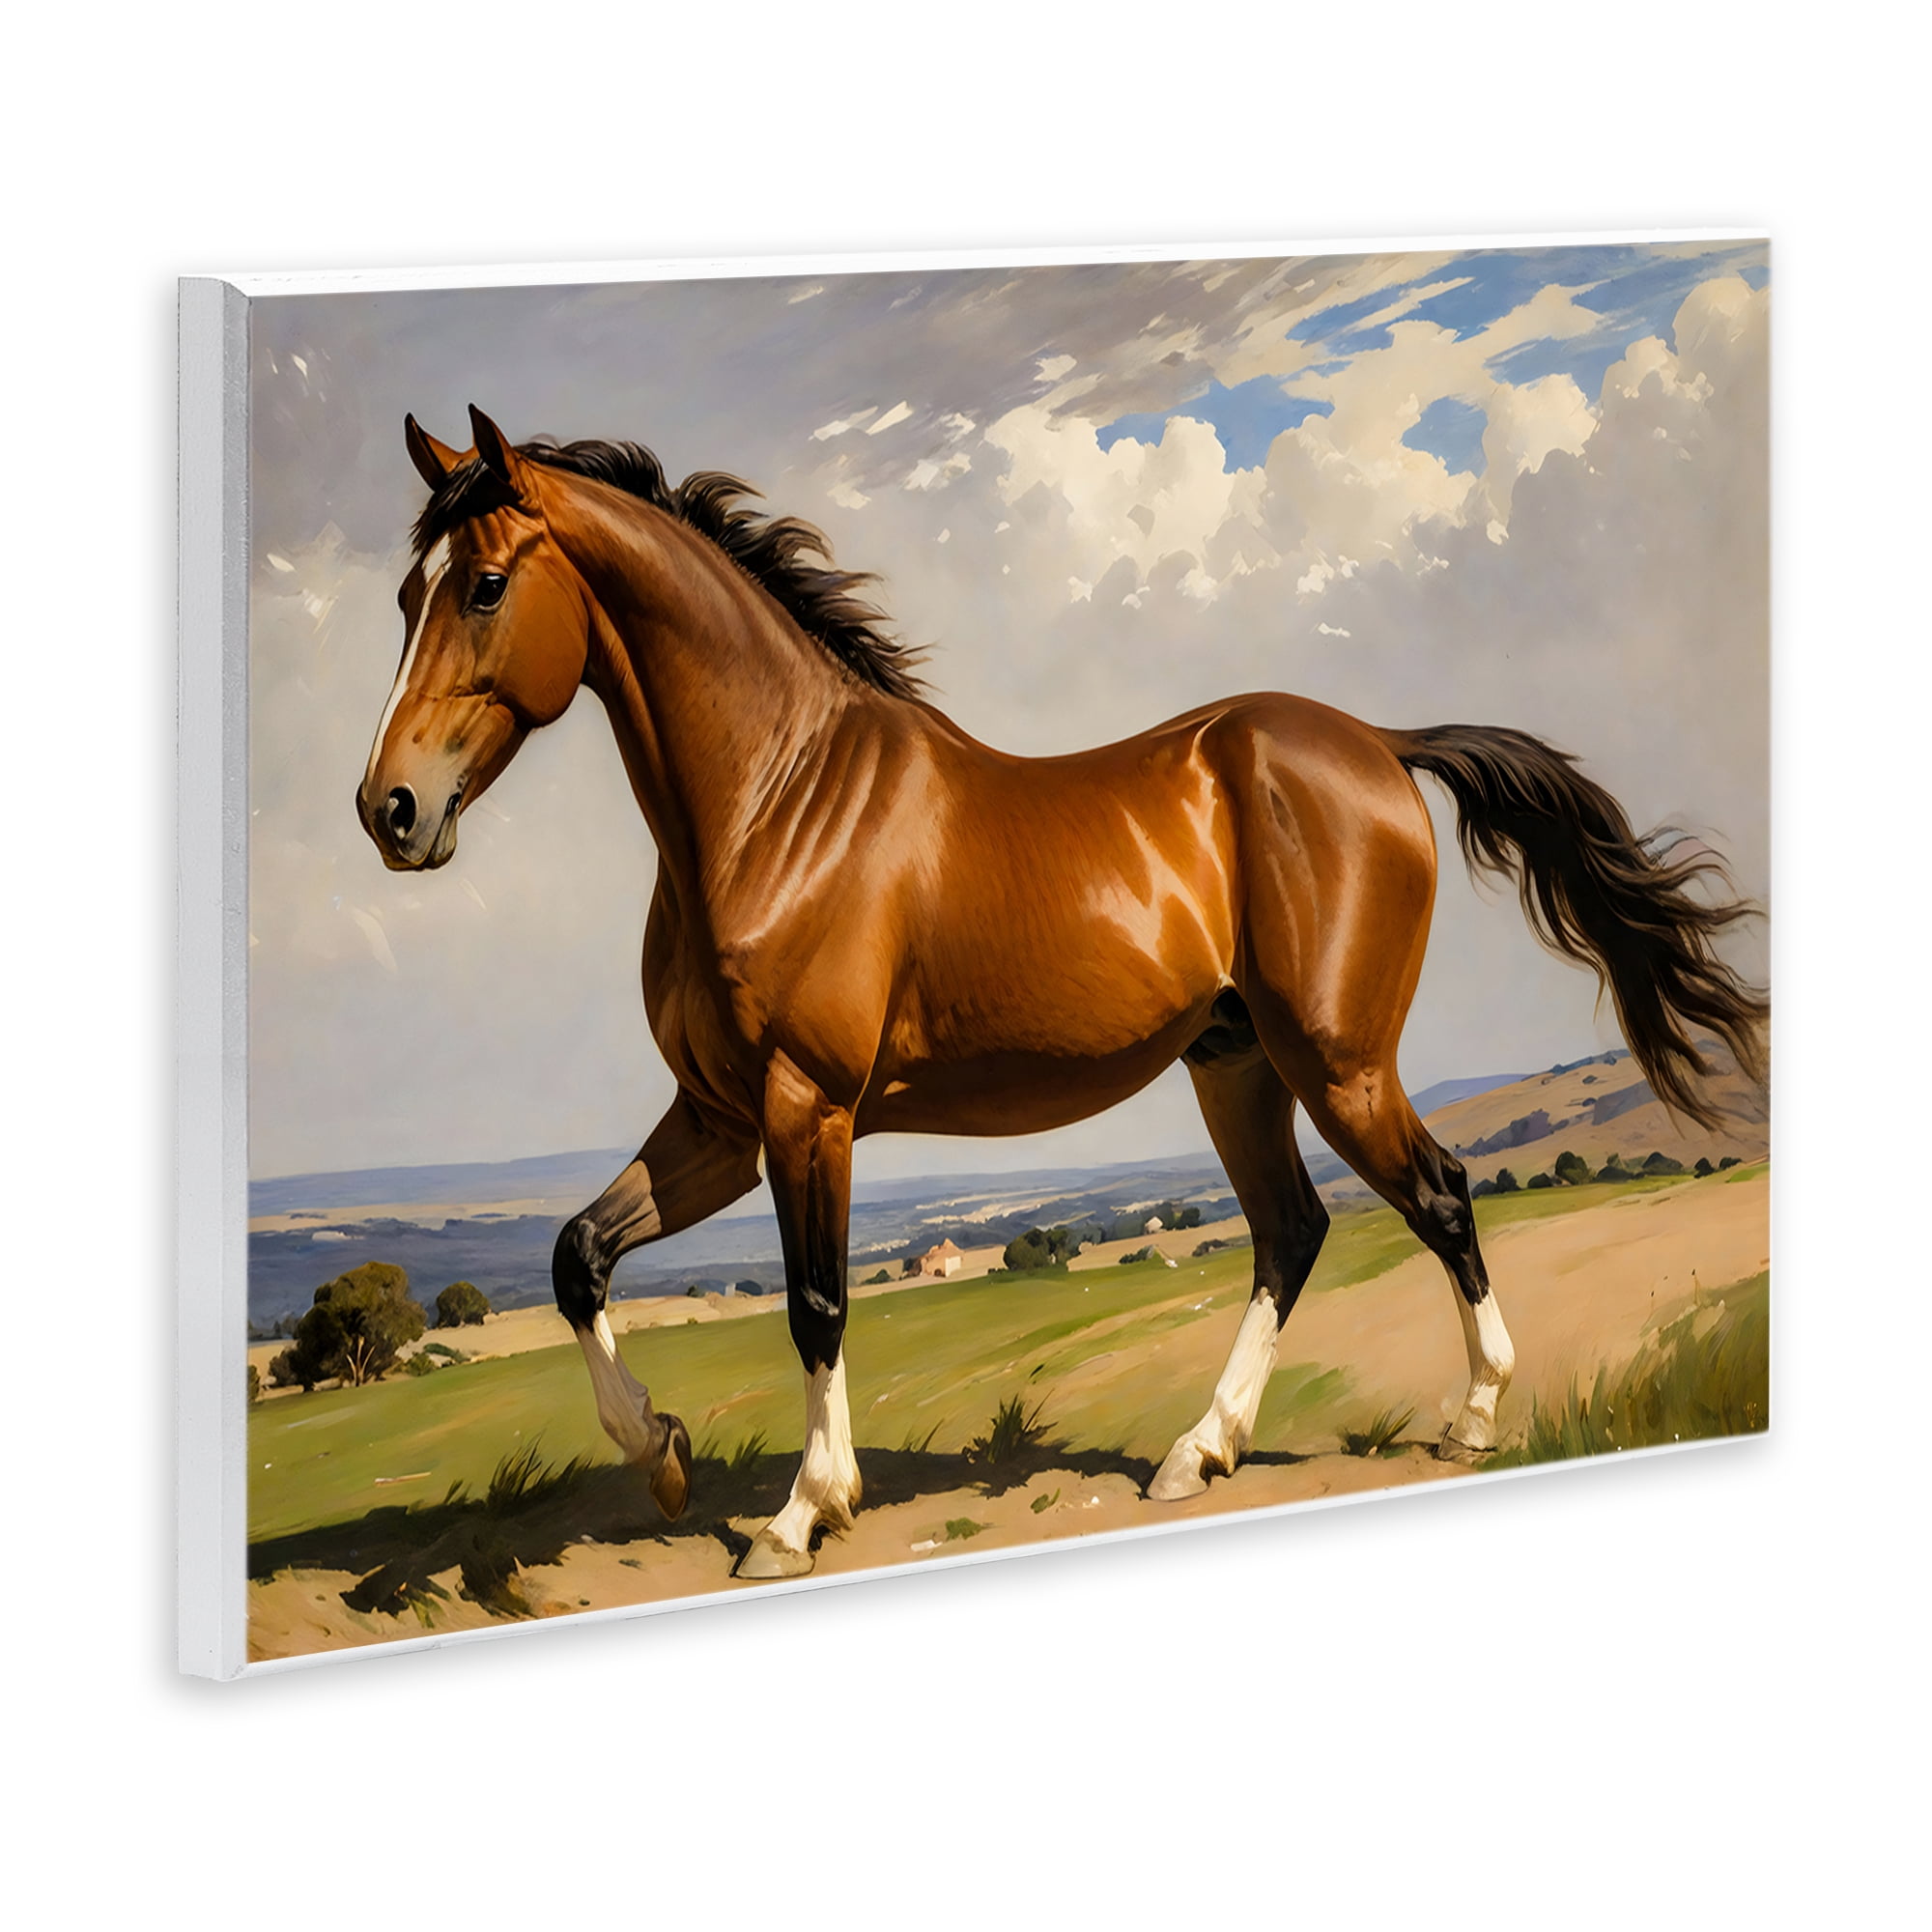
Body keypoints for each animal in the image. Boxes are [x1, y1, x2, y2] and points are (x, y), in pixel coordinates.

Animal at [356, 406, 1768, 1580]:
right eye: (404, 593)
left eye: (485, 585)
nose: (391, 810)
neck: (775, 803)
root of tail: (1375, 746)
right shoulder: (716, 1115)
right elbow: (578, 1256)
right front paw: (660, 1455)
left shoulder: (805, 1108)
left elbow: (816, 1304)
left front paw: (803, 1511)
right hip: (1236, 1065)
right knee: (1291, 1230)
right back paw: (1199, 1451)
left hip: (1336, 1061)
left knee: (1438, 1193)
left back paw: (1469, 1416)